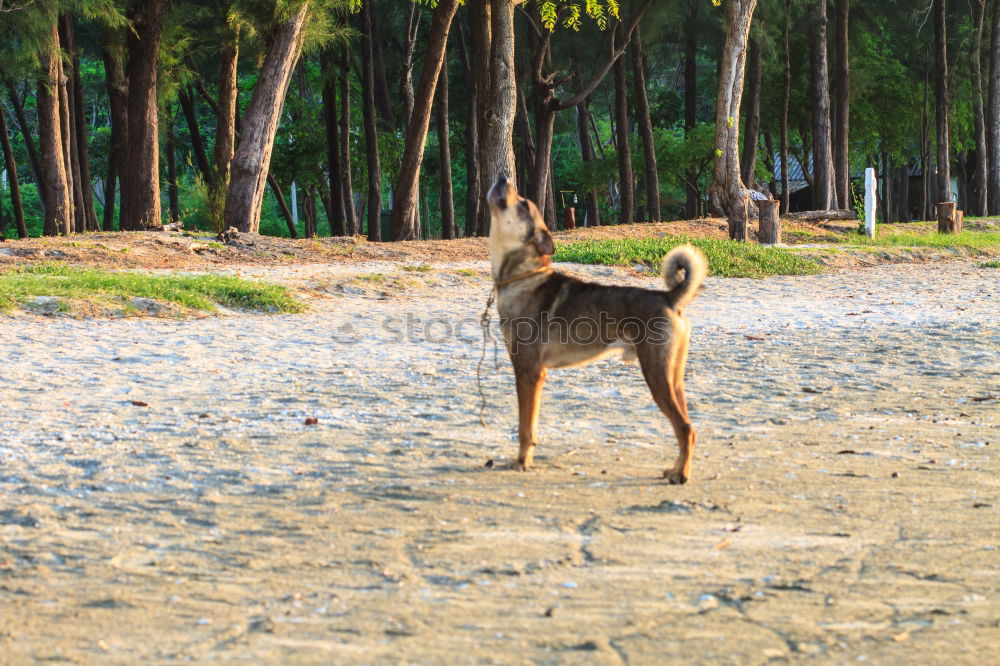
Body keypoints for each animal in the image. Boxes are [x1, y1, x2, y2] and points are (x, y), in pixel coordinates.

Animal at [486, 176, 708, 482]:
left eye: (523, 203)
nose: (503, 178)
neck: (522, 278)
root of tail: (669, 297)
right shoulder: (535, 374)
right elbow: (532, 425)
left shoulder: (528, 372)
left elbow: (525, 427)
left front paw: (521, 462)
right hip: (673, 379)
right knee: (685, 426)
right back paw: (675, 469)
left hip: (656, 375)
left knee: (685, 428)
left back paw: (681, 475)